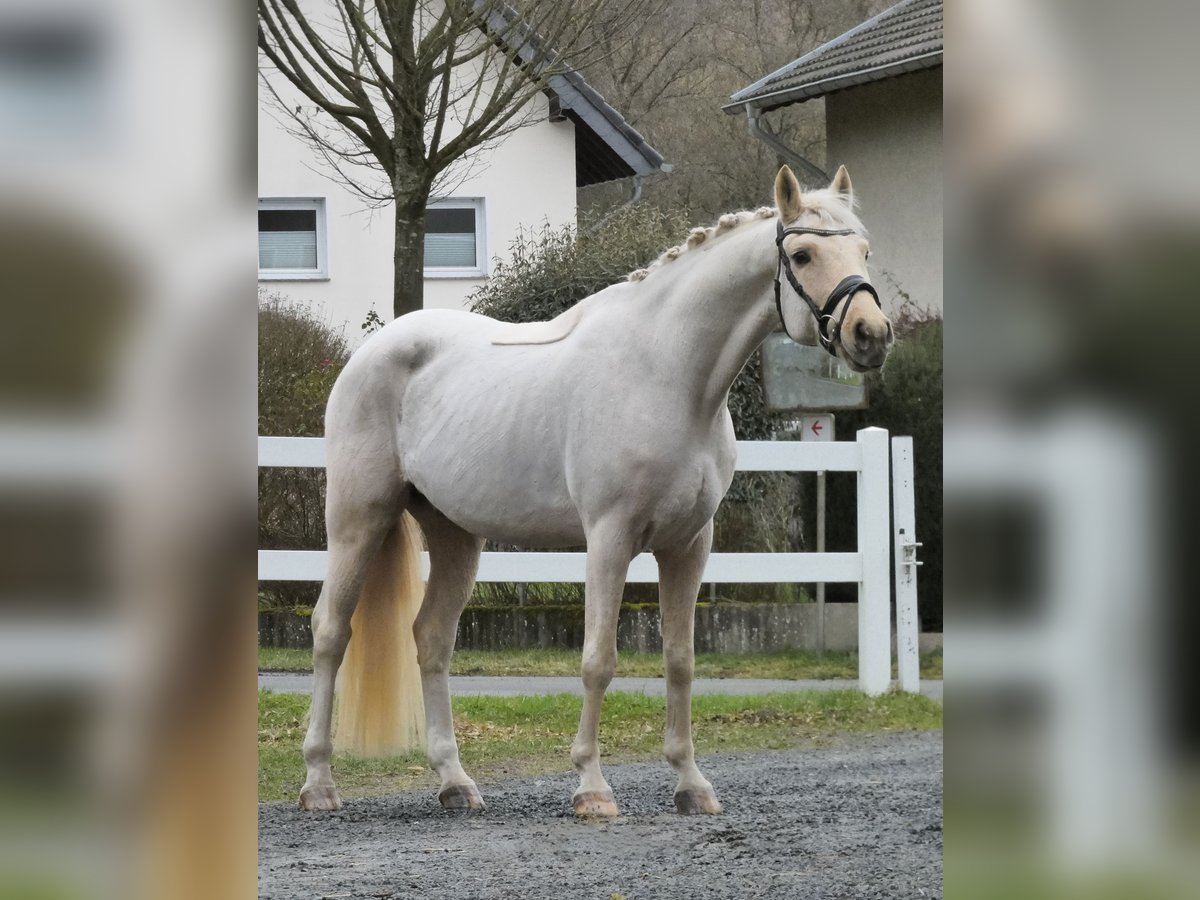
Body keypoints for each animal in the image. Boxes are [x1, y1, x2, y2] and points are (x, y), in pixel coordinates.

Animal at [298, 162, 892, 816]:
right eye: (804, 254)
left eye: (865, 250)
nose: (871, 334)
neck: (666, 375)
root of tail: (371, 352)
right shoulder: (610, 539)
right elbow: (598, 661)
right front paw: (592, 788)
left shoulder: (689, 546)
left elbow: (680, 661)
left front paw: (691, 784)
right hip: (358, 519)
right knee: (330, 632)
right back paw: (318, 782)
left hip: (455, 534)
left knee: (431, 638)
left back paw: (455, 781)